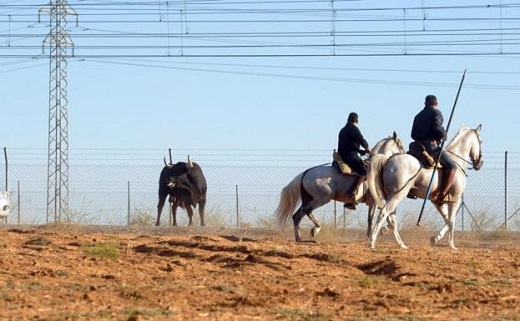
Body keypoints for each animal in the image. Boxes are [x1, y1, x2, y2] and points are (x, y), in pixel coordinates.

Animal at [276, 131, 406, 241]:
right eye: (401, 146)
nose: (405, 157)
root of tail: (305, 173)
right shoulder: (374, 202)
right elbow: (372, 218)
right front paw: (371, 236)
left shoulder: (377, 202)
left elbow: (386, 215)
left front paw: (384, 230)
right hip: (322, 198)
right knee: (307, 211)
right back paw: (315, 229)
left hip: (309, 199)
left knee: (297, 216)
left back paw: (299, 238)